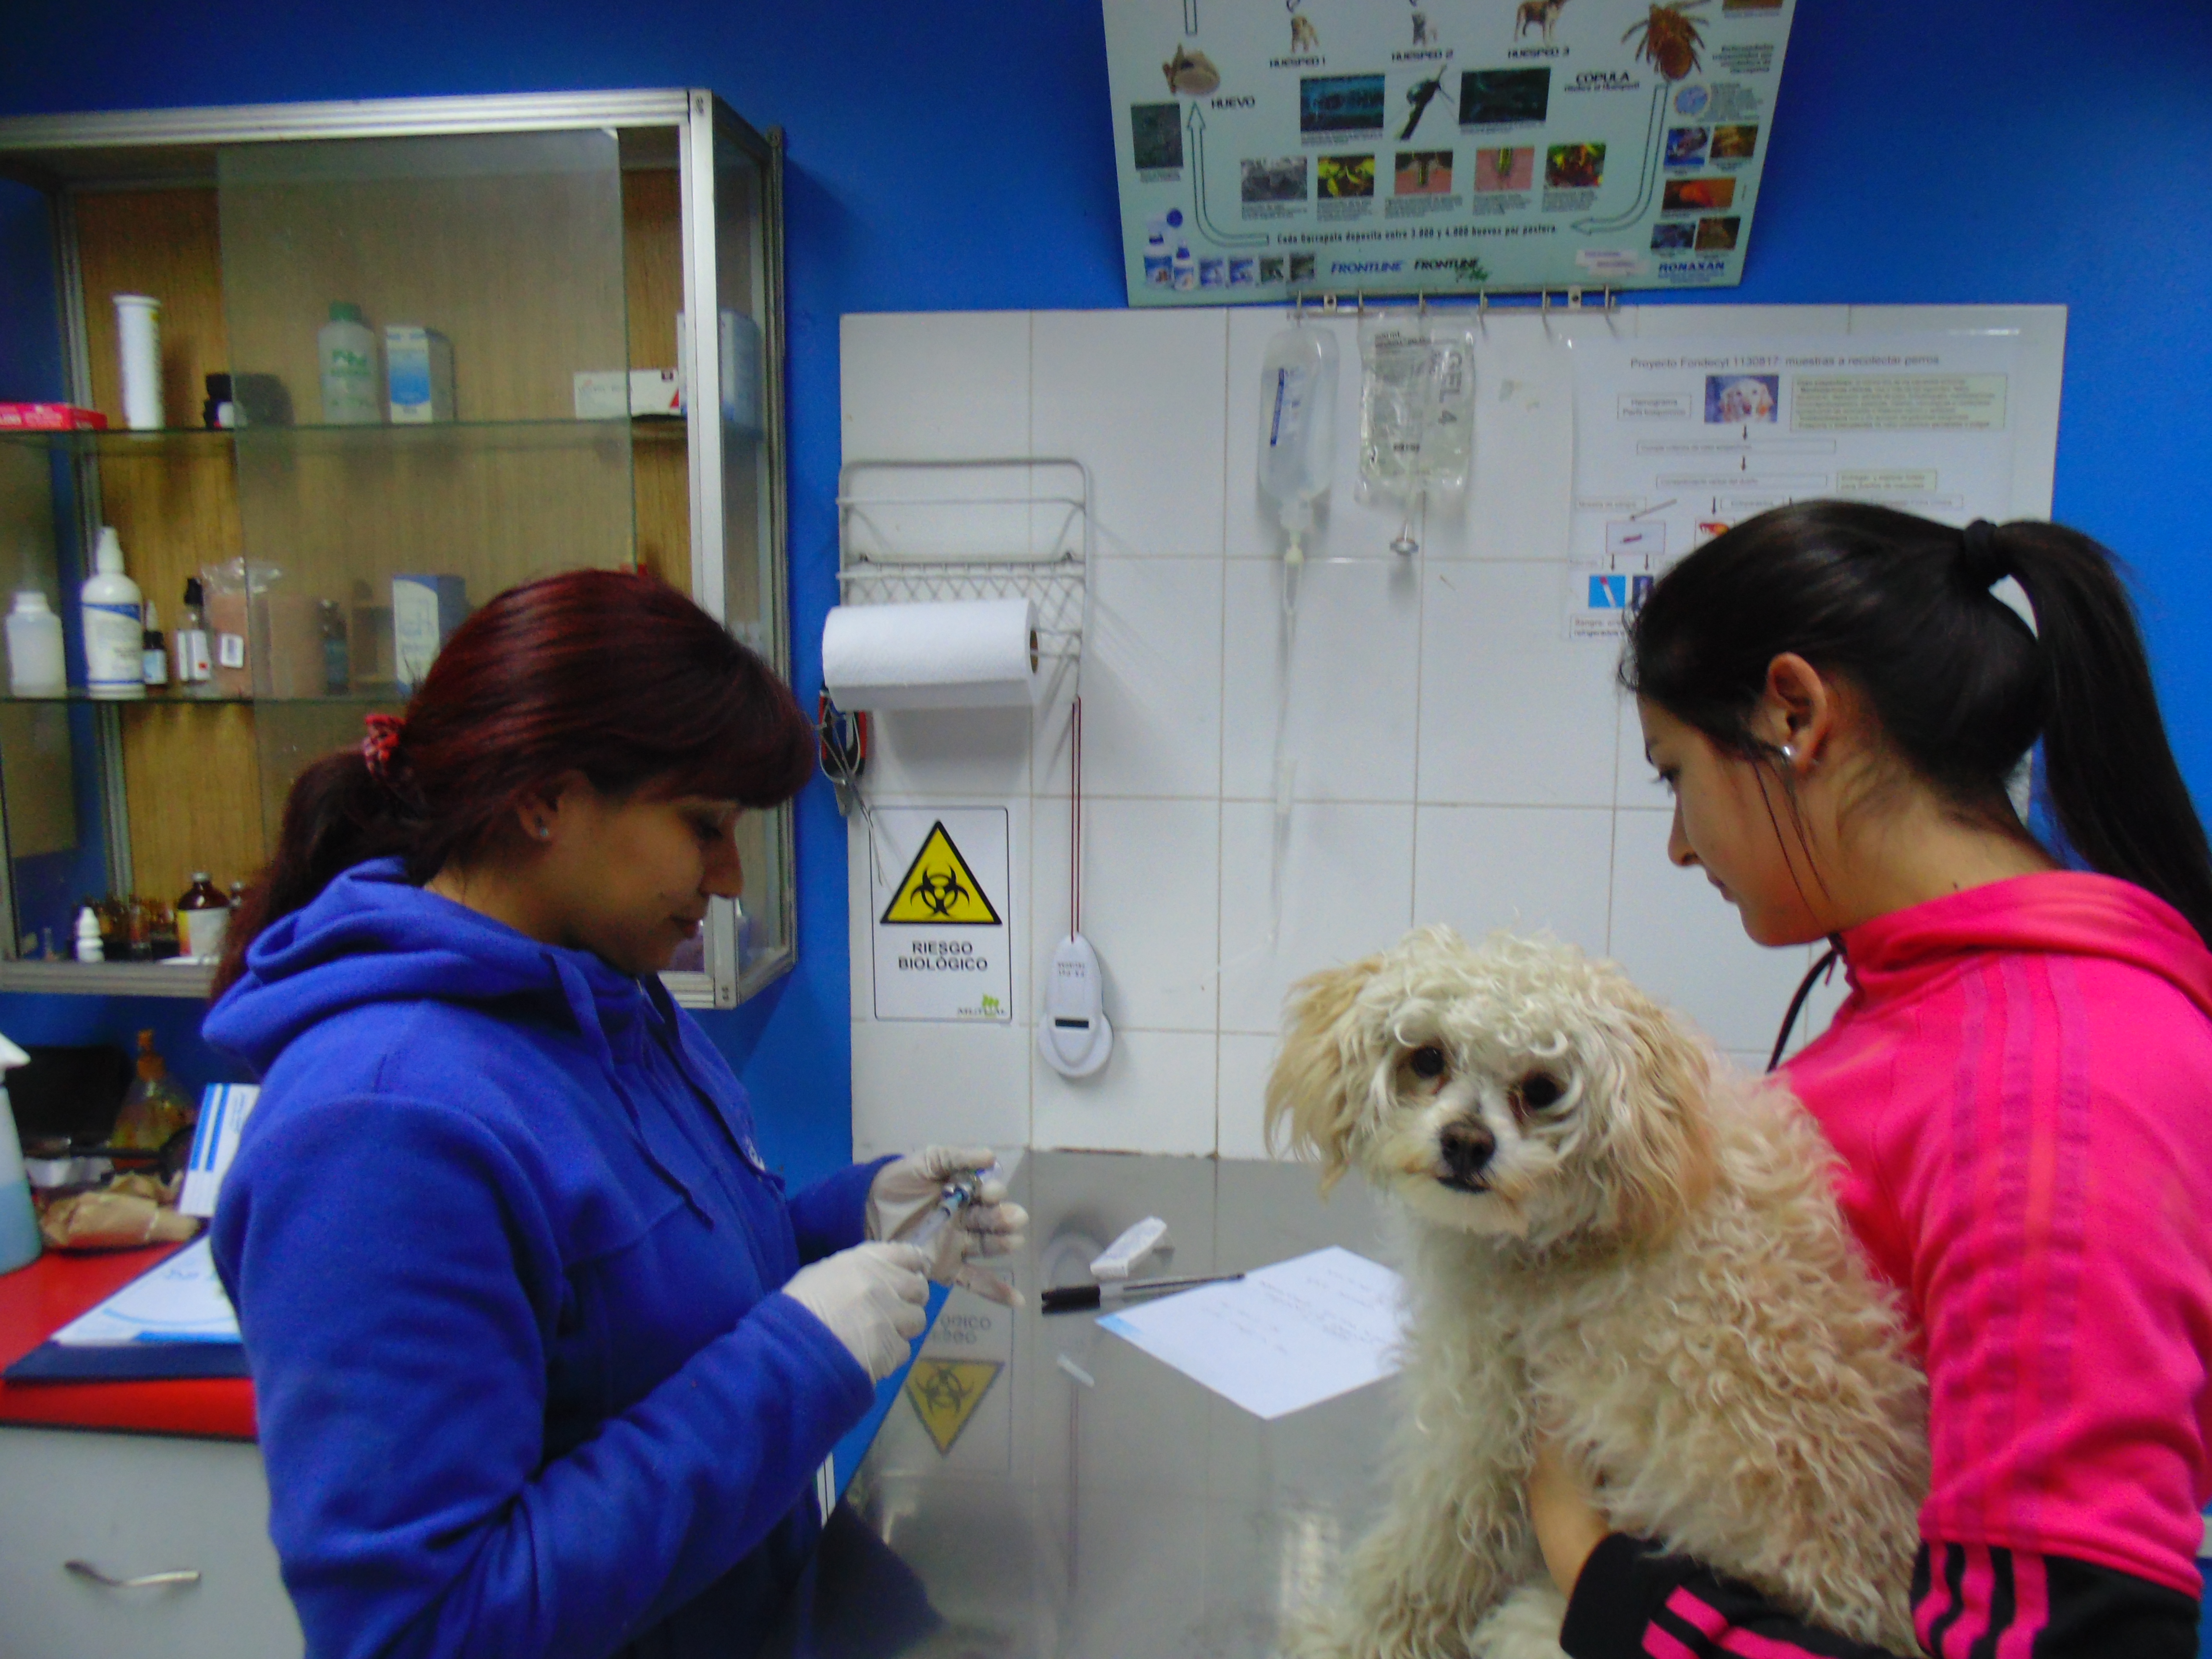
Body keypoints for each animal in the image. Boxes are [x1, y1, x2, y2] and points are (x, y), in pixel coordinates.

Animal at [1266, 929, 1928, 1659]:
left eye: (1542, 1088)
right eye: (1428, 1057)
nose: (1466, 1142)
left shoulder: (1485, 1415)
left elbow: (1430, 1548)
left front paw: (1355, 1638)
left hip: (1536, 1626)